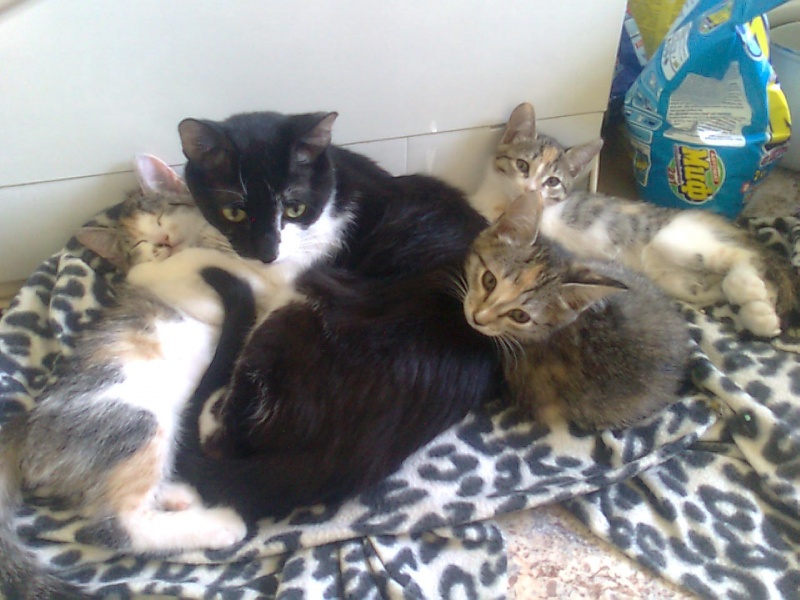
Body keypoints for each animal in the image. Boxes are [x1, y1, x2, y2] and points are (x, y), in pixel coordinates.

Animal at [0, 155, 288, 599]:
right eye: (137, 244)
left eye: (159, 215)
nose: (163, 242)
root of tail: (25, 425)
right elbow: (218, 271)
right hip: (135, 418)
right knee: (114, 525)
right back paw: (217, 525)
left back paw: (177, 493)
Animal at [170, 110, 503, 521]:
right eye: (234, 212)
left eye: (294, 209)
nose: (267, 252)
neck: (333, 194)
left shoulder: (293, 268)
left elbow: (222, 263)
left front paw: (163, 262)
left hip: (303, 307)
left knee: (224, 433)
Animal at [470, 102, 798, 338]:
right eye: (522, 165)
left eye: (552, 181)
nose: (530, 190)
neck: (499, 201)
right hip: (676, 280)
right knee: (723, 285)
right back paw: (759, 312)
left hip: (673, 238)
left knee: (742, 257)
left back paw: (752, 296)